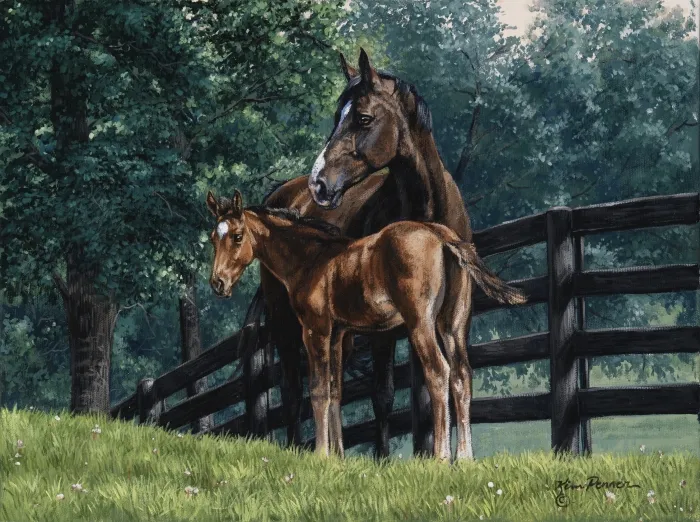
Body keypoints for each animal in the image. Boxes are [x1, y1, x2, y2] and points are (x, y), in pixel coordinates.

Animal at [207, 190, 526, 460]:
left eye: (237, 236)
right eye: (212, 238)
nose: (218, 284)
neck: (311, 259)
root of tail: (439, 234)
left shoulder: (316, 331)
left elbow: (319, 389)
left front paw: (321, 455)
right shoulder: (338, 334)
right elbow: (335, 390)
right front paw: (338, 456)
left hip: (421, 324)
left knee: (438, 372)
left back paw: (440, 458)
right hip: (453, 324)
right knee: (461, 375)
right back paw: (465, 458)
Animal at [259, 49, 474, 458]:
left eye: (363, 118)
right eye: (335, 117)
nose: (320, 184)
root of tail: (283, 195)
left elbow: (422, 391)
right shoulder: (383, 332)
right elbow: (383, 395)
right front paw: (384, 458)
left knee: (331, 387)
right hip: (283, 324)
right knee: (293, 393)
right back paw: (298, 449)